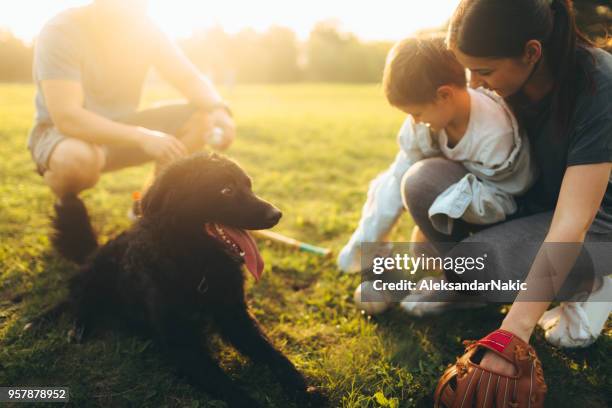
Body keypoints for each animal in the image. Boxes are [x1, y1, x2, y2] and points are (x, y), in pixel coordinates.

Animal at [41, 154, 316, 408]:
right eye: (226, 190)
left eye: (249, 186)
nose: (277, 214)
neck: (199, 268)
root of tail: (95, 250)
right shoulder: (181, 343)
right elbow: (231, 388)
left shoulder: (236, 317)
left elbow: (275, 356)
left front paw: (307, 392)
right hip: (99, 272)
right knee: (76, 294)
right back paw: (66, 324)